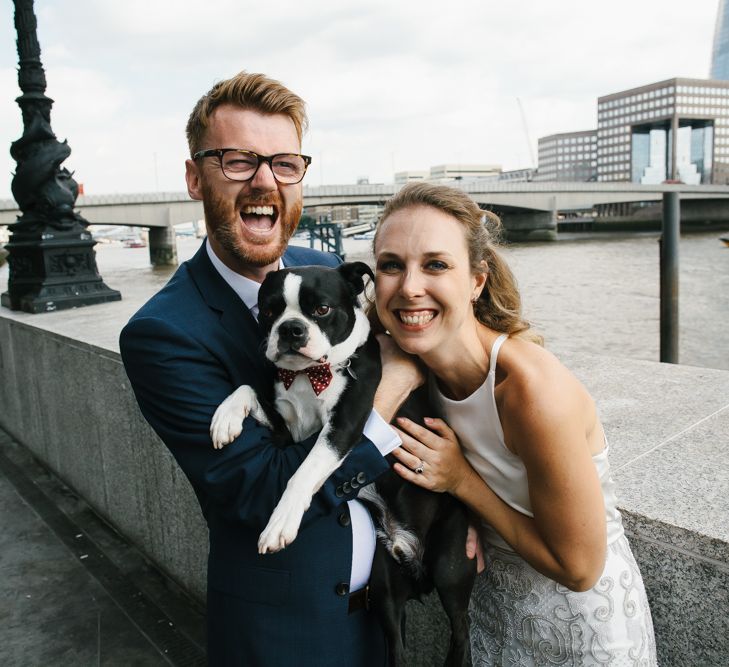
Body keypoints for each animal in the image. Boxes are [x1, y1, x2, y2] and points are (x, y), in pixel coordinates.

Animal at [208, 264, 474, 664]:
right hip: (383, 586)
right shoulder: (286, 433)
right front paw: (225, 416)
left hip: (449, 565)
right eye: (269, 311)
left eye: (321, 309)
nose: (291, 329)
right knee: (396, 644)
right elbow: (247, 389)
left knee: (461, 630)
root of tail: (411, 556)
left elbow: (302, 474)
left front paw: (280, 523)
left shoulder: (342, 428)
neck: (309, 375)